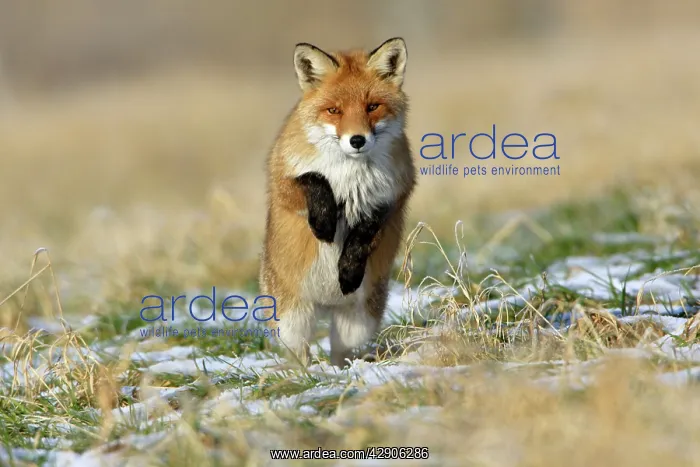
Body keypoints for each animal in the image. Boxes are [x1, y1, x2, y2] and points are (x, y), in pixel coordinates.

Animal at [259, 37, 416, 368]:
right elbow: (313, 179)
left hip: (357, 324)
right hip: (292, 322)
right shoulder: (282, 181)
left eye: (372, 106)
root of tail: (326, 303)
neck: (349, 175)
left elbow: (365, 231)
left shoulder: (394, 196)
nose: (357, 140)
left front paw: (348, 270)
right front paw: (323, 222)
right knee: (299, 353)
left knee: (341, 352)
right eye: (334, 110)